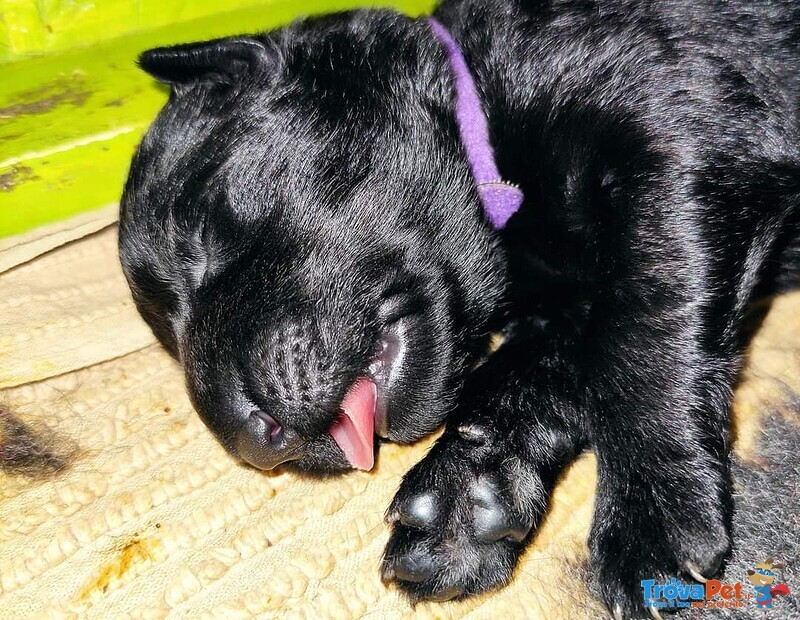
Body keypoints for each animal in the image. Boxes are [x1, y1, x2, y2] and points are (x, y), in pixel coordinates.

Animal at [120, 1, 800, 616]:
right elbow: (530, 374)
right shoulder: (565, 305)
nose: (251, 445)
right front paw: (463, 502)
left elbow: (643, 336)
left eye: (201, 231)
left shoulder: (674, 133)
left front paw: (650, 517)